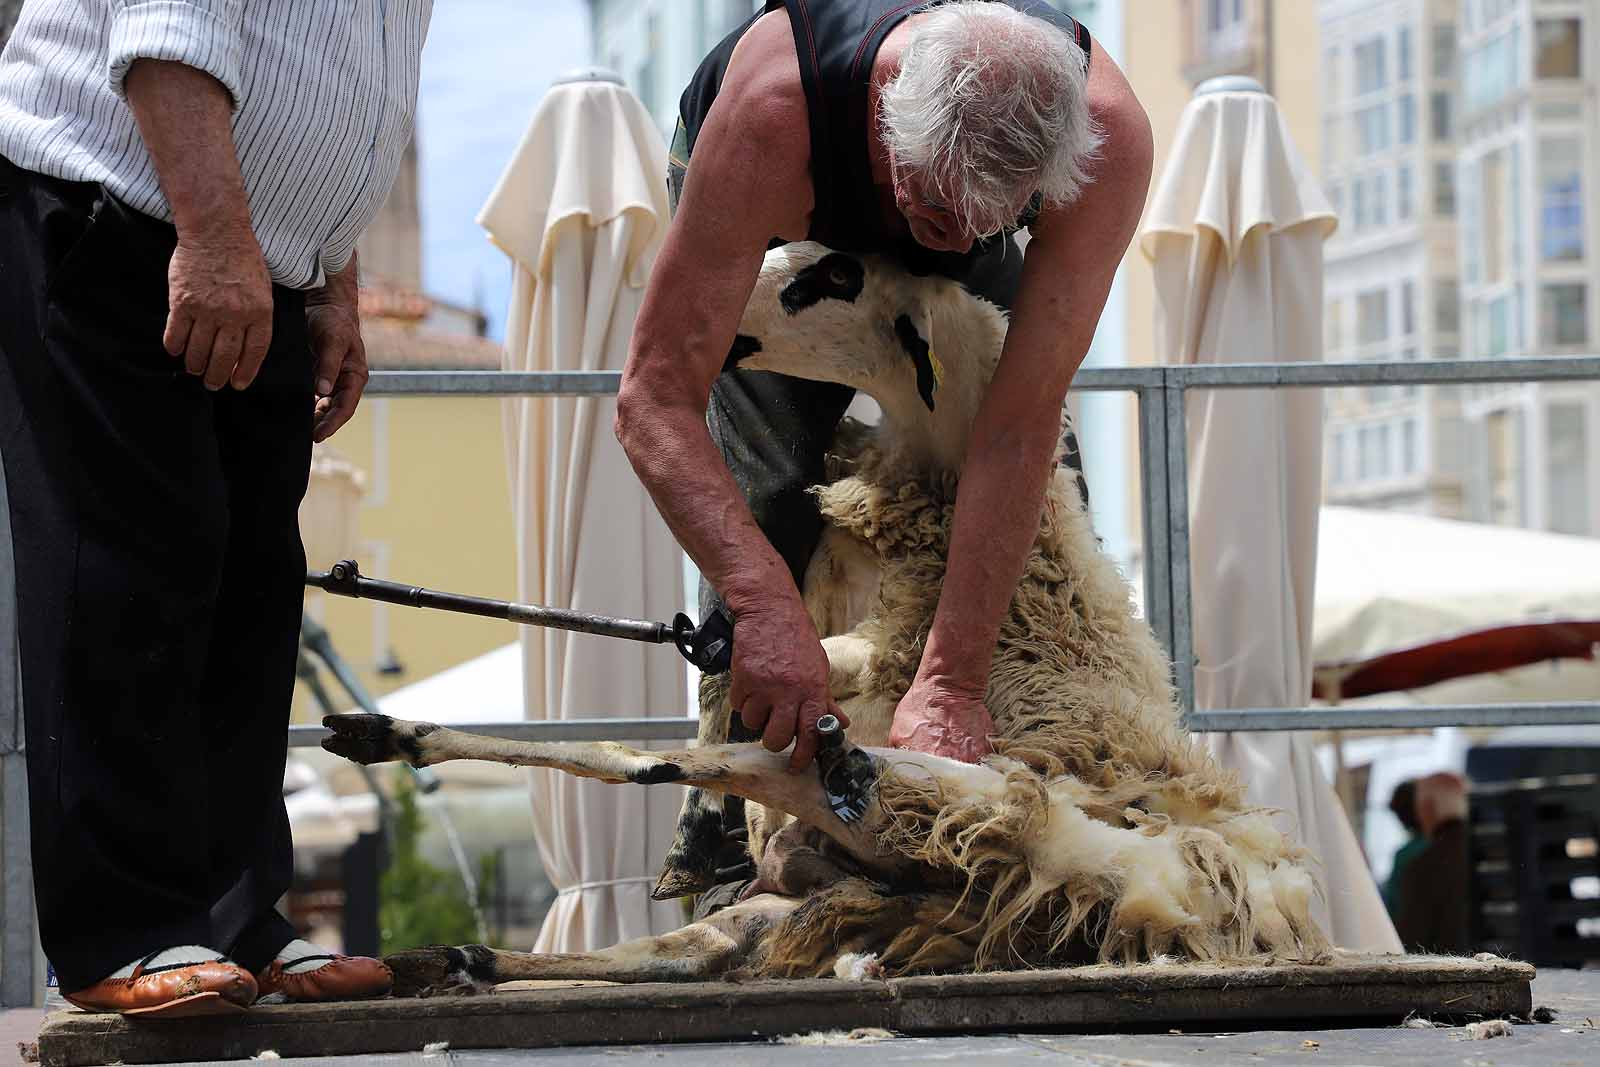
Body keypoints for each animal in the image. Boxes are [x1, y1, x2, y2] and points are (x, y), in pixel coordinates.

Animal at [321, 241, 1324, 991]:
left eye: (831, 277)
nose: (693, 303)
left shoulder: (877, 663)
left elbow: (769, 679)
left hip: (940, 794)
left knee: (666, 762)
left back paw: (390, 738)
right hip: (797, 897)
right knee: (672, 943)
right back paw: (448, 952)